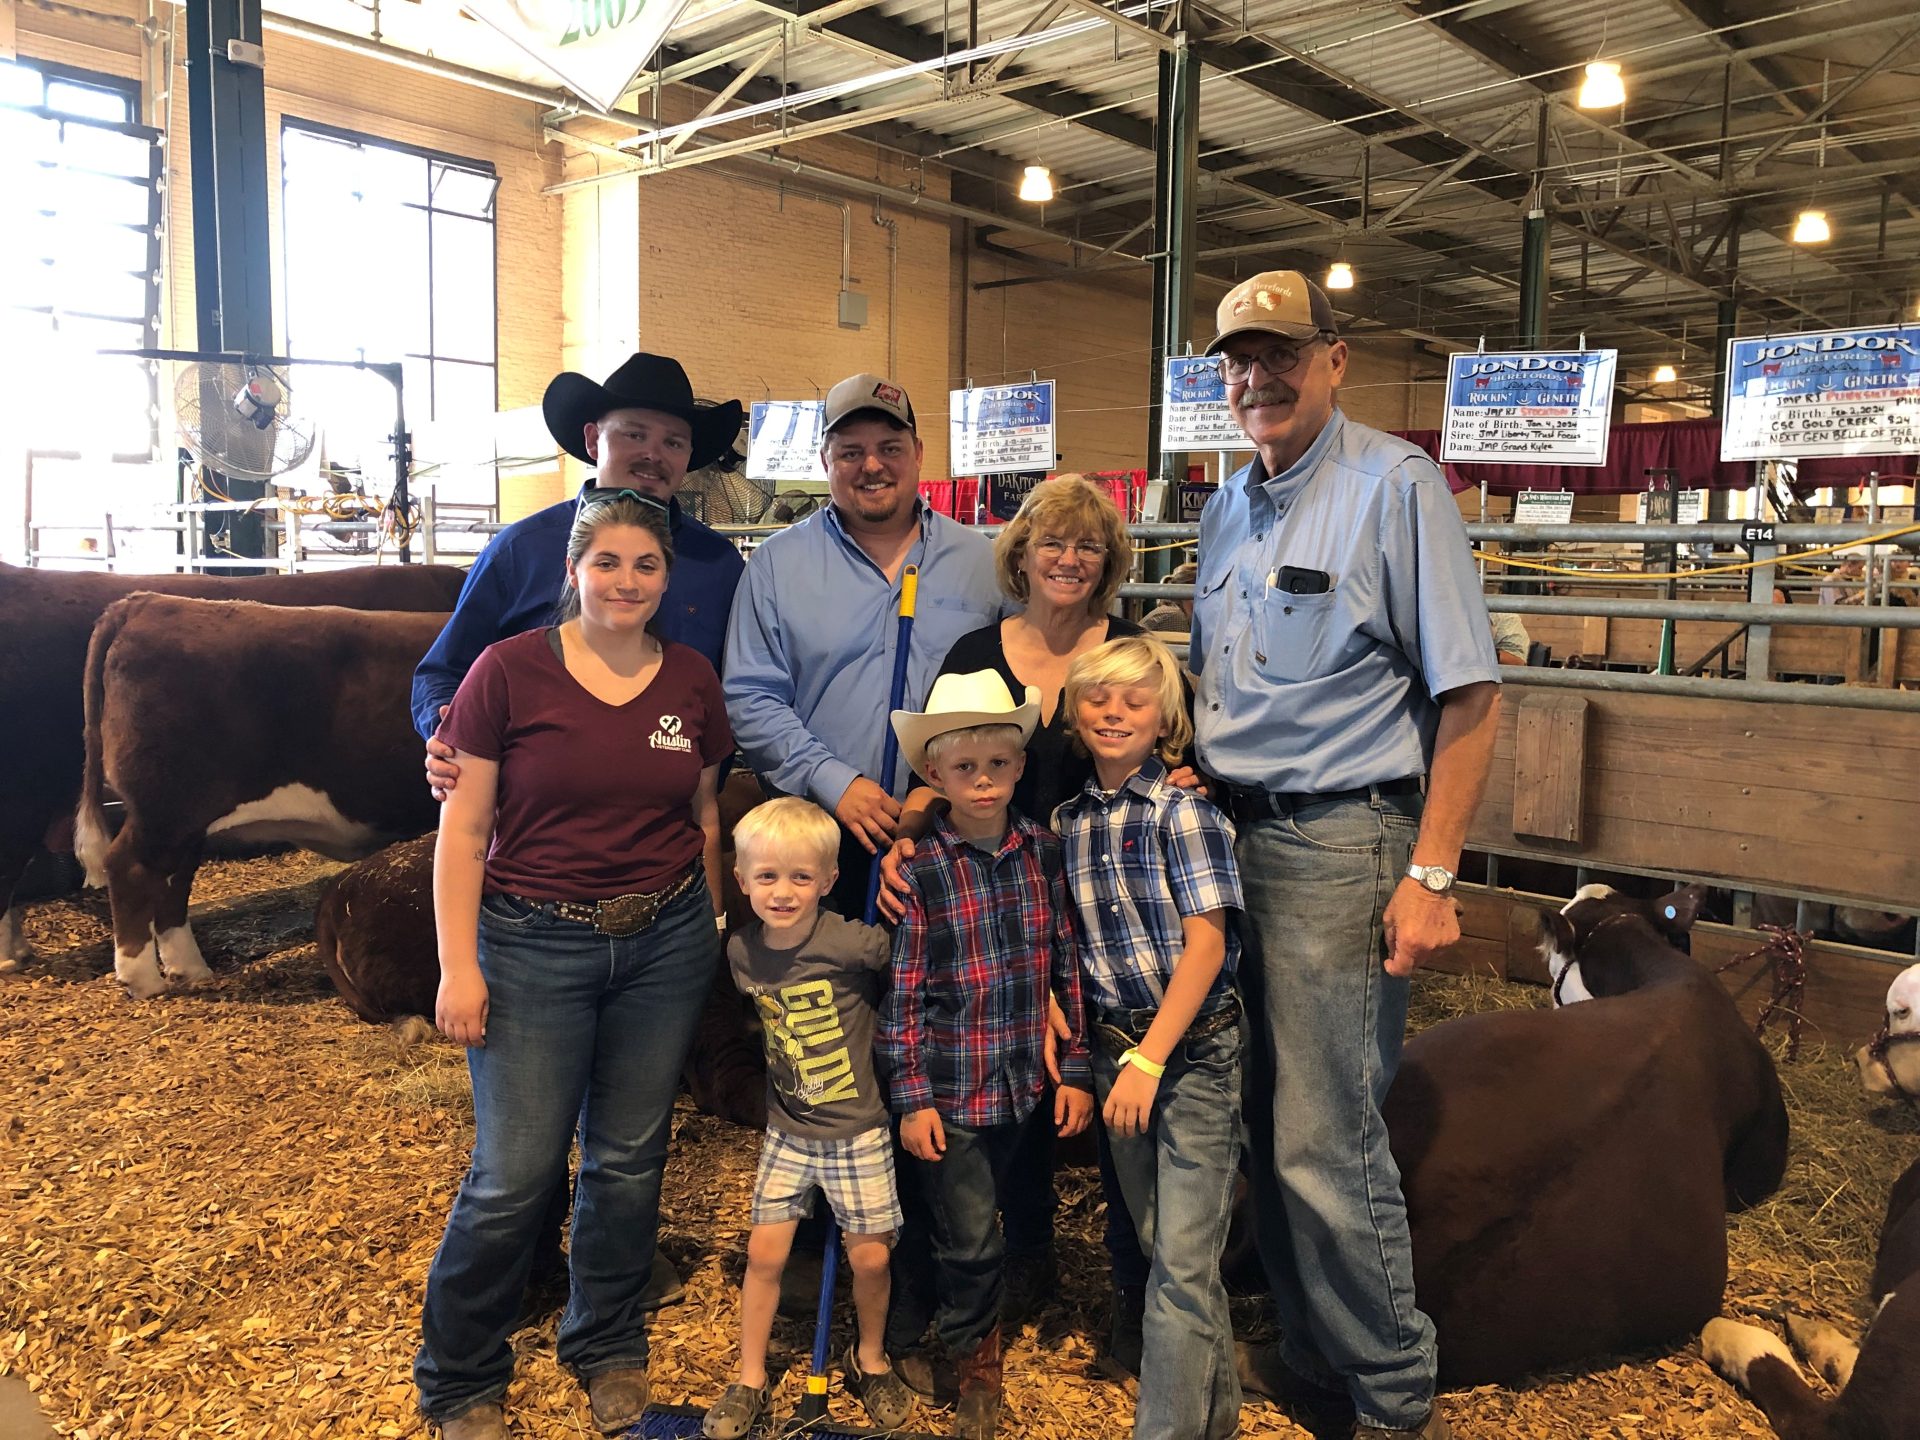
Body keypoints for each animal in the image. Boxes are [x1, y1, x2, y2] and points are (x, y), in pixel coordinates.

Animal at [77, 591, 445, 998]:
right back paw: (143, 981)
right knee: (129, 867)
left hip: (186, 820)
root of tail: (145, 601)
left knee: (174, 882)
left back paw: (190, 970)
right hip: (163, 808)